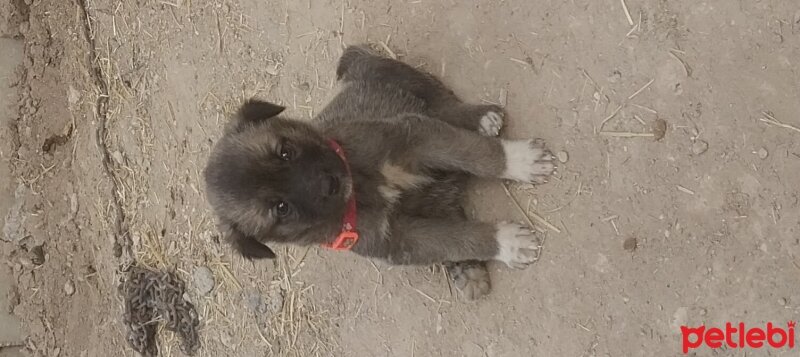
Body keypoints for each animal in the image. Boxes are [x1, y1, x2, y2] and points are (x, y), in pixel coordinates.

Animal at [205, 45, 556, 300]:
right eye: (281, 209)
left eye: (285, 151)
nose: (330, 182)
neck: (361, 184)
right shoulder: (397, 240)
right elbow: (455, 239)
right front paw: (506, 242)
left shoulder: (410, 139)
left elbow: (476, 151)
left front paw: (521, 160)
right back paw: (466, 270)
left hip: (395, 74)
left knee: (440, 102)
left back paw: (481, 118)